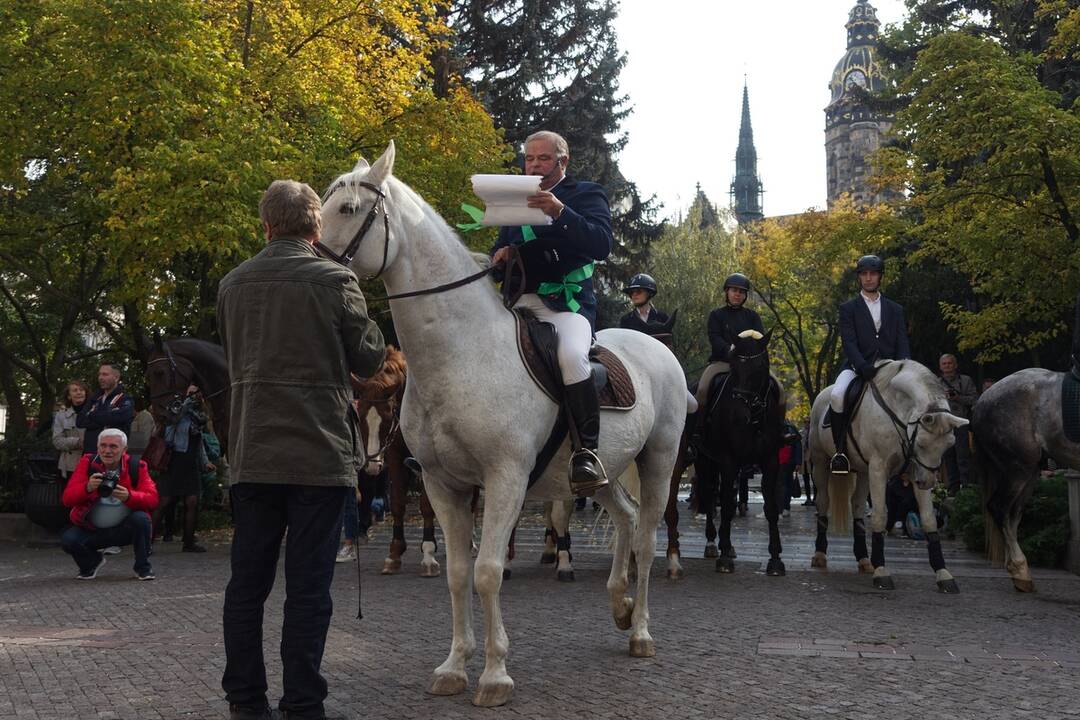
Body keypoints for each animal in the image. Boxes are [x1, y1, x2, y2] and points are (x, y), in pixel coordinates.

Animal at [352, 345, 440, 578]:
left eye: (387, 417)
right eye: (360, 416)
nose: (372, 464)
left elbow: (426, 505)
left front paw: (429, 553)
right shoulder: (393, 455)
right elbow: (398, 502)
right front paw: (394, 553)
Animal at [972, 369, 1080, 595]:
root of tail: (982, 400)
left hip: (1030, 473)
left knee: (1014, 515)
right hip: (1019, 469)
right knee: (1000, 509)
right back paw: (1020, 571)